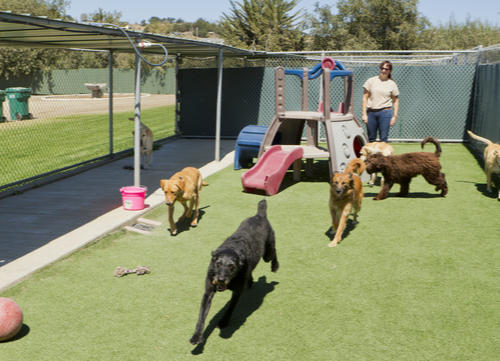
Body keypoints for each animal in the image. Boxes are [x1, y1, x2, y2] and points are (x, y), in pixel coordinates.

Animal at [190, 198, 280, 344]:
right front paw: (196, 336)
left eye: (232, 266)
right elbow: (201, 316)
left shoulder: (237, 292)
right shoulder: (208, 292)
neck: (233, 247)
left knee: (274, 252)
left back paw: (275, 266)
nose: (220, 280)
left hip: (267, 253)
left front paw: (223, 322)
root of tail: (259, 215)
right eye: (218, 263)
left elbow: (229, 309)